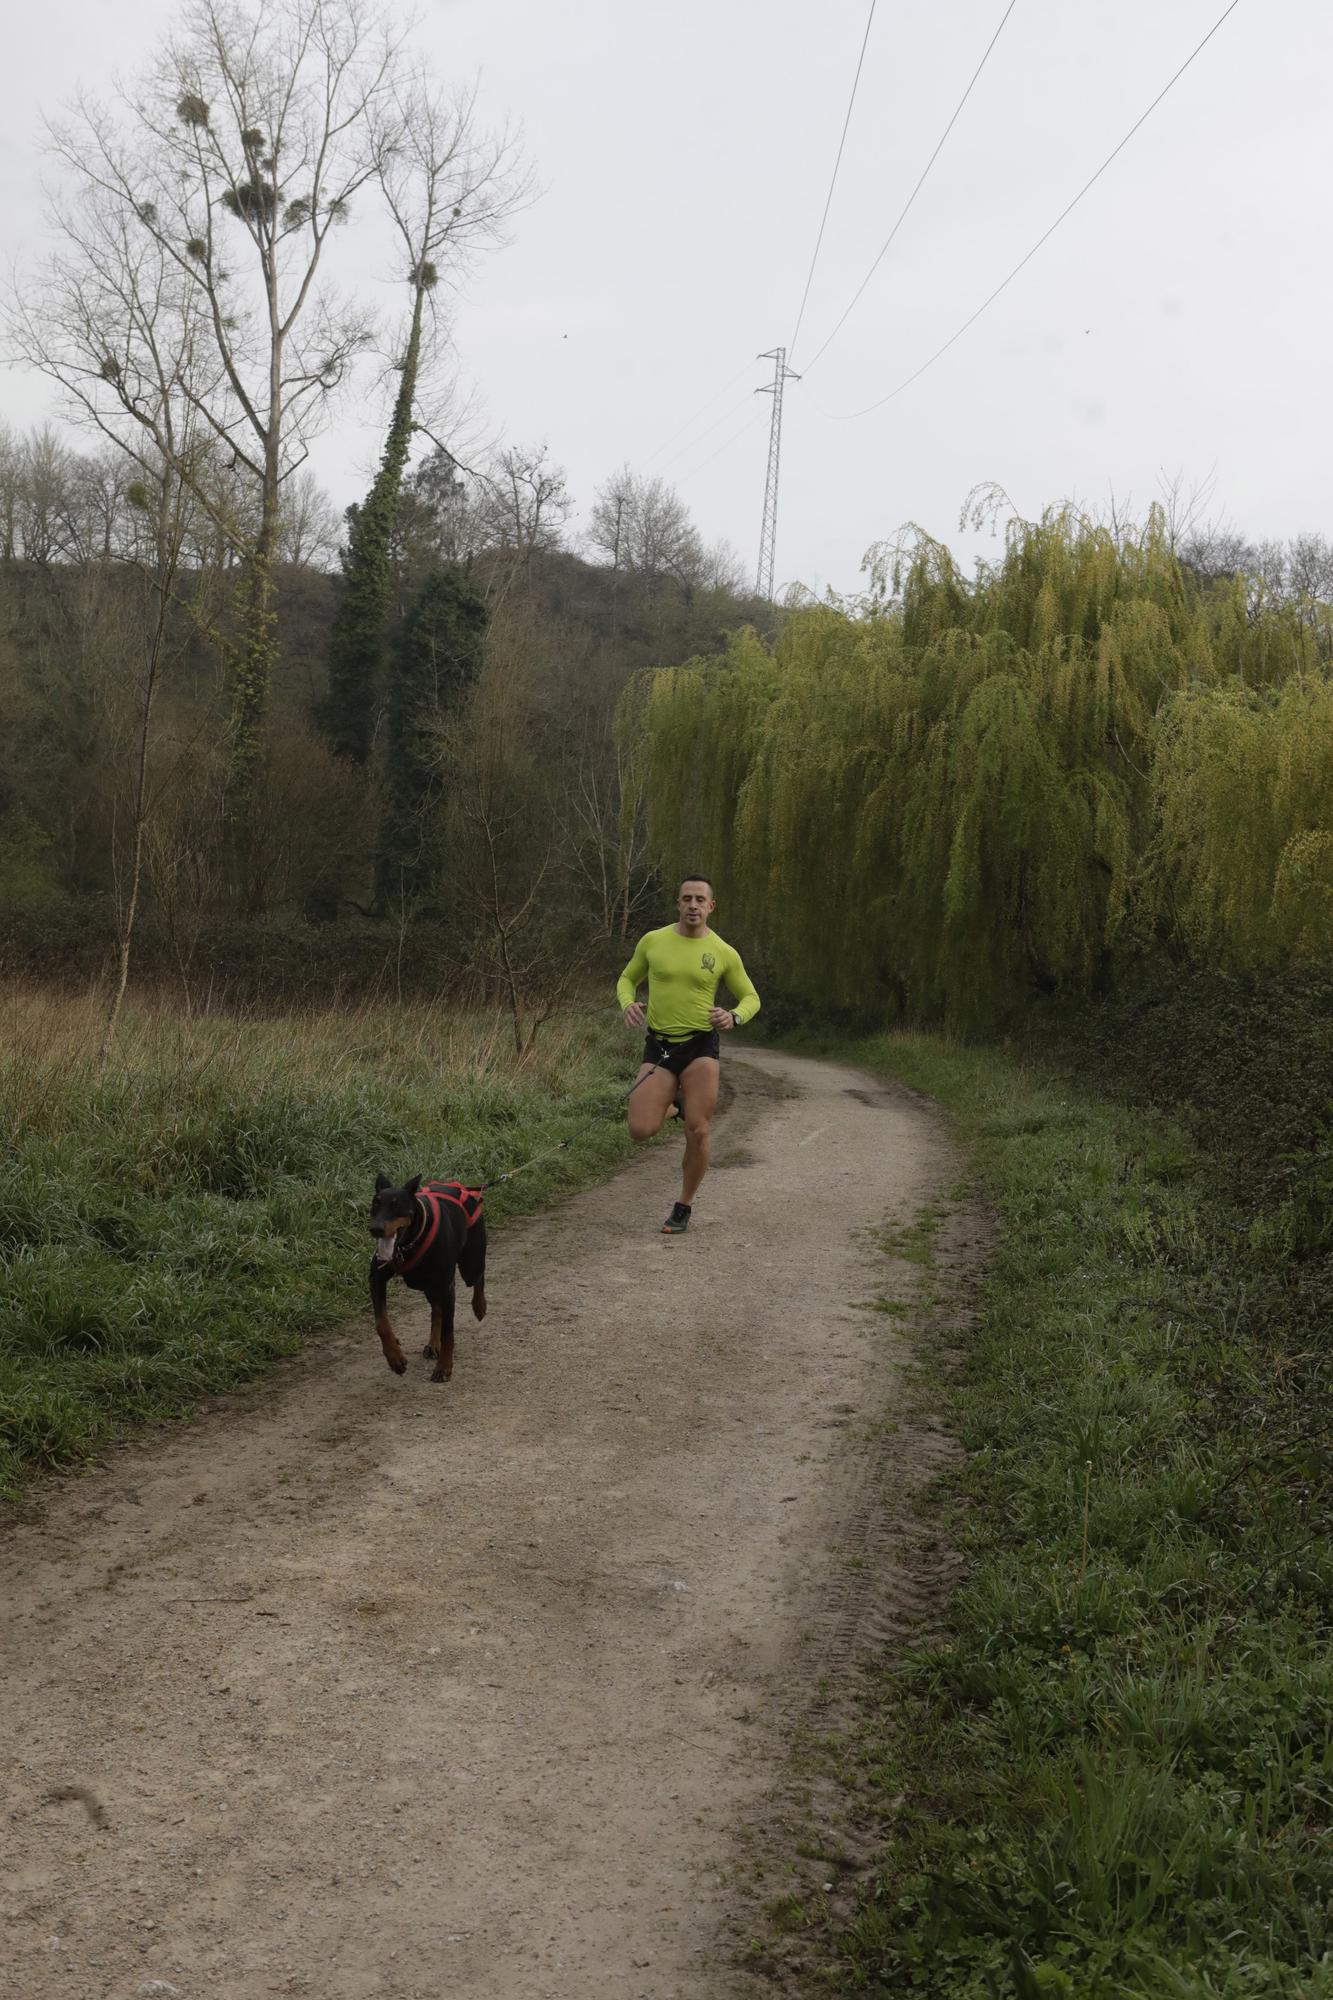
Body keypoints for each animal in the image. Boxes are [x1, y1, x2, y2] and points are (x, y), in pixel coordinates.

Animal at [366, 1176, 486, 1384]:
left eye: (397, 1205)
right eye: (375, 1204)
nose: (376, 1229)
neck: (406, 1245)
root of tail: (467, 1191)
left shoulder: (447, 1287)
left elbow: (448, 1332)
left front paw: (444, 1367)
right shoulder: (376, 1278)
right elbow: (381, 1323)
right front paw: (395, 1358)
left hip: (470, 1263)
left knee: (479, 1276)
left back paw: (480, 1306)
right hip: (427, 1284)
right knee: (436, 1310)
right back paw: (433, 1343)